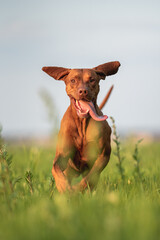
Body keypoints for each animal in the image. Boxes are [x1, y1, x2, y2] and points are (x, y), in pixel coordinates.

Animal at [42, 61, 120, 192]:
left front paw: (77, 189)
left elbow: (90, 177)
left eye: (92, 80)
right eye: (73, 80)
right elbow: (56, 168)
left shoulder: (103, 156)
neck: (82, 123)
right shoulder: (62, 156)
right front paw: (64, 187)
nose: (83, 91)